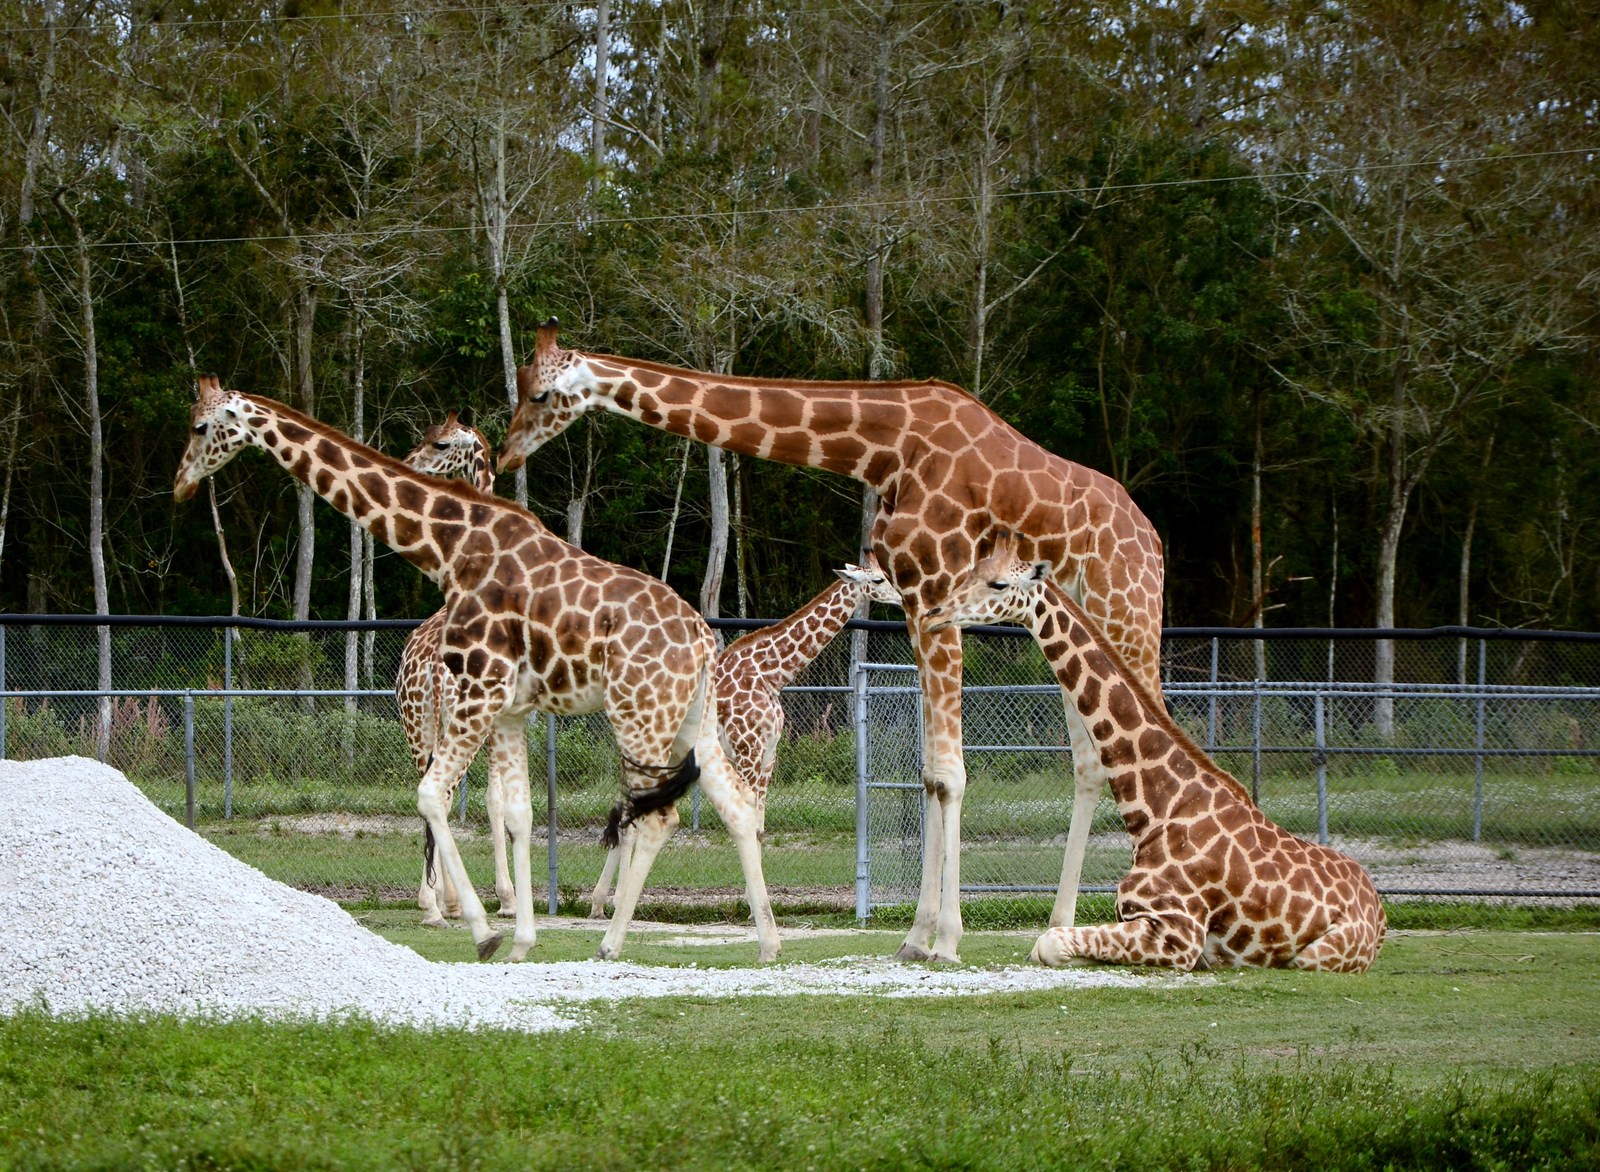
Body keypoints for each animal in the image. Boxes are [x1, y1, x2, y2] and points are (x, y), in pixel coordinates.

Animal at [172, 379, 777, 967]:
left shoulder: (479, 691)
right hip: (692, 720)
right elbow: (518, 812)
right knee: (737, 807)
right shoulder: (508, 708)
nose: (181, 482)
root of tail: (702, 638)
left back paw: (609, 943)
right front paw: (522, 938)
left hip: (638, 715)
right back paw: (768, 943)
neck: (450, 551)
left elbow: (435, 795)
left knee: (658, 817)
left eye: (201, 426)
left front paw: (483, 930)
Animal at [595, 563, 908, 922]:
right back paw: (616, 900)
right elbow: (745, 822)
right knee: (630, 822)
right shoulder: (748, 751)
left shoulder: (769, 755)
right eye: (878, 579)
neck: (771, 674)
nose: (902, 598)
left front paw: (754, 902)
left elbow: (758, 827)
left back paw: (599, 902)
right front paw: (752, 906)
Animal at [928, 541, 1388, 973]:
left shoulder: (1179, 933)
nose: (934, 613)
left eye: (998, 584)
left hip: (1317, 956)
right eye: (969, 572)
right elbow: (1051, 944)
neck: (1155, 807)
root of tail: (1380, 912)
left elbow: (1050, 942)